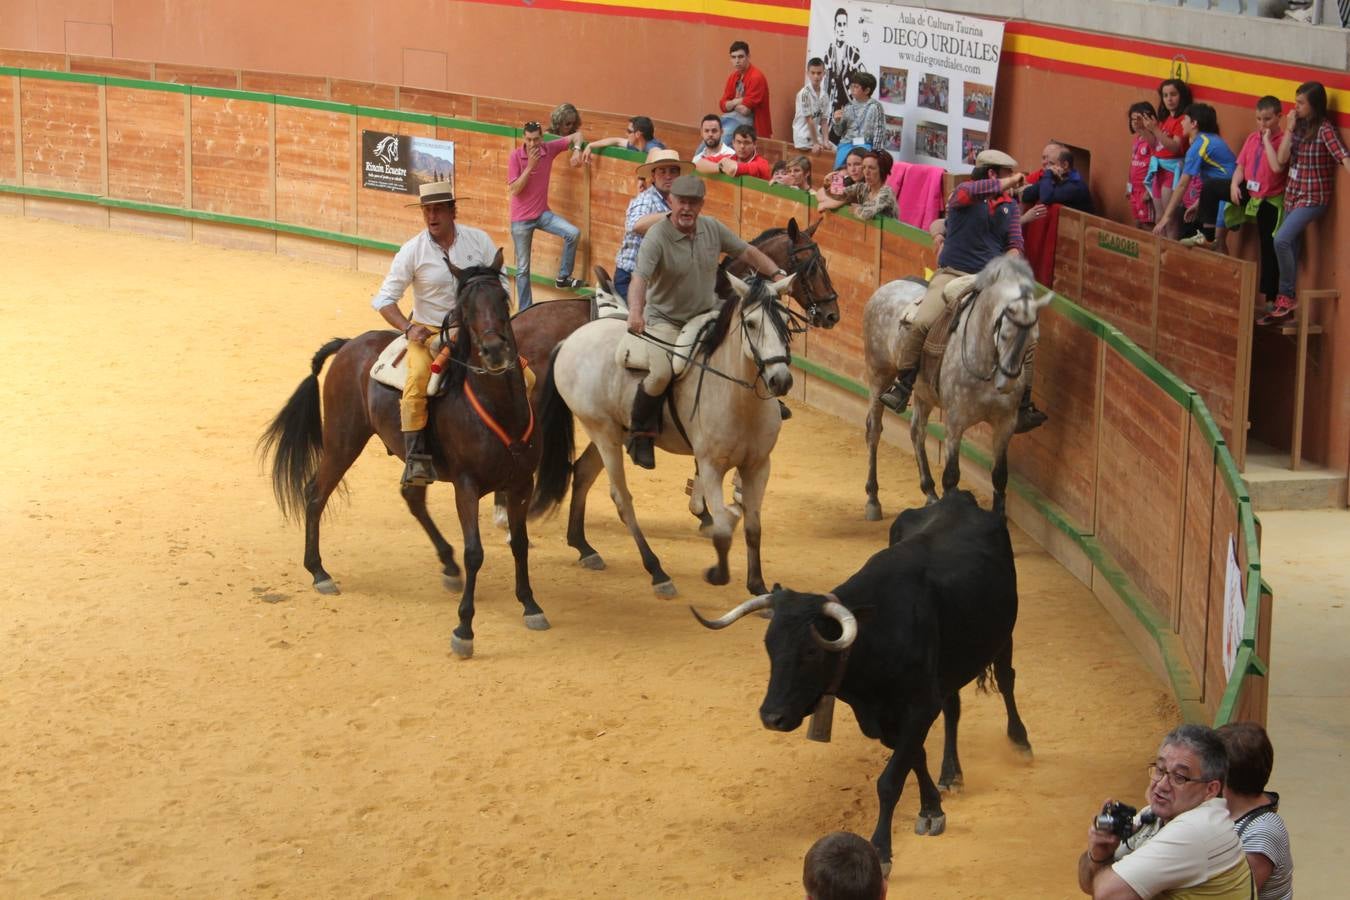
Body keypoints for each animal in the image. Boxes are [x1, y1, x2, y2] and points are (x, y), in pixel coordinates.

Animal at [257, 249, 564, 658]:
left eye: (503, 299)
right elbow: (475, 552)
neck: (497, 408)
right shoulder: (466, 485)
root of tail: (349, 345)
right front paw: (464, 629)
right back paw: (319, 571)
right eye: (464, 307)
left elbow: (520, 543)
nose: (495, 351)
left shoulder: (521, 484)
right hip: (343, 440)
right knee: (316, 493)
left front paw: (530, 605)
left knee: (411, 498)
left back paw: (447, 564)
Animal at [531, 275, 793, 599]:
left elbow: (754, 528)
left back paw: (584, 547)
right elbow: (721, 528)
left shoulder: (759, 466)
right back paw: (657, 572)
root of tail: (570, 341)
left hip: (613, 431)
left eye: (786, 322)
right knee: (622, 499)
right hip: (603, 433)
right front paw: (717, 574)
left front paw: (758, 587)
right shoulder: (711, 466)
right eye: (753, 323)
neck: (740, 399)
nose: (780, 380)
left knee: (582, 472)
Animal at [696, 488, 1031, 868]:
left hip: (1004, 636)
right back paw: (952, 773)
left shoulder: (919, 707)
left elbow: (891, 779)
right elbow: (914, 757)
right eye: (769, 646)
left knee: (1006, 679)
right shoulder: (889, 718)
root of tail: (960, 498)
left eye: (811, 652)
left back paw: (1020, 741)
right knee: (953, 707)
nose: (771, 717)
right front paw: (932, 808)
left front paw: (882, 850)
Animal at [858, 256, 1047, 518]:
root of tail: (886, 287)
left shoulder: (1005, 424)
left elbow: (999, 476)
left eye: (1033, 341)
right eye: (1005, 335)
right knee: (874, 429)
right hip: (879, 375)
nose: (1007, 382)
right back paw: (873, 499)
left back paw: (929, 492)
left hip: (923, 392)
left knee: (917, 431)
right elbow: (951, 476)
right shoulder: (956, 421)